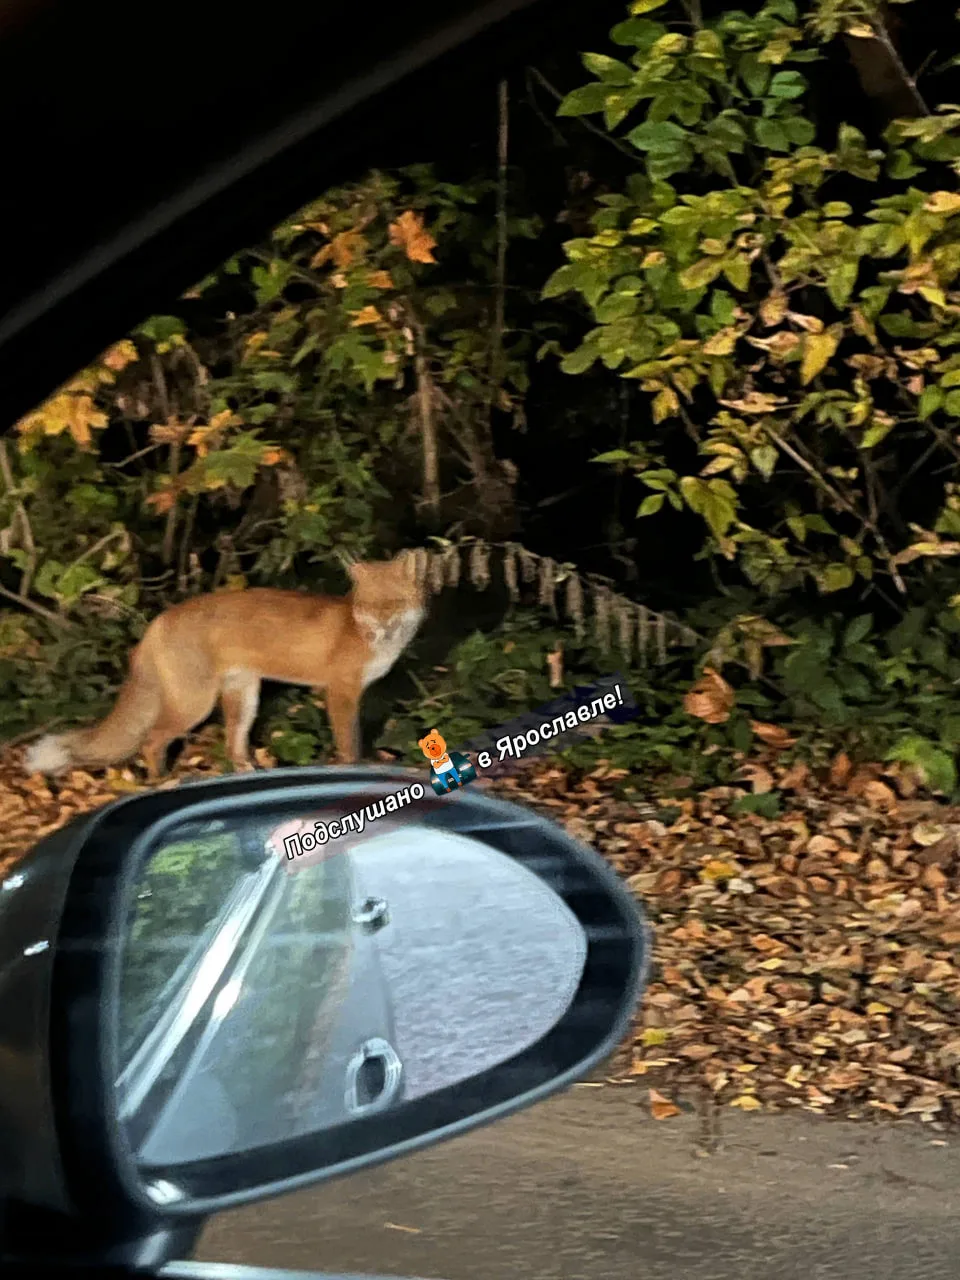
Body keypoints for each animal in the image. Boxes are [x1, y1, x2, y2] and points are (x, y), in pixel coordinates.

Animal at [24, 551, 425, 780]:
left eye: (392, 603)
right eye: (368, 605)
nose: (379, 627)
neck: (362, 635)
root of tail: (158, 621)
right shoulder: (340, 691)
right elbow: (349, 743)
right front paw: (353, 769)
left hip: (243, 699)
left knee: (234, 747)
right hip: (195, 705)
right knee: (151, 740)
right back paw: (160, 781)